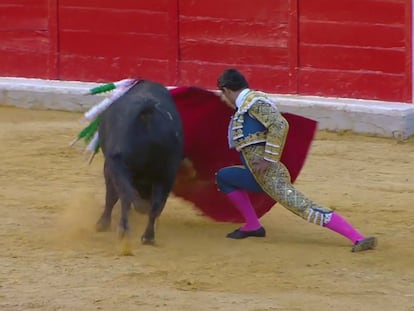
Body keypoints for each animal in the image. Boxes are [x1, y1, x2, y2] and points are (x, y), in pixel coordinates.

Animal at [96, 79, 184, 245]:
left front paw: (102, 224)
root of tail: (147, 112)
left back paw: (123, 230)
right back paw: (148, 236)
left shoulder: (110, 167)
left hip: (119, 166)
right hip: (167, 174)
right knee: (156, 205)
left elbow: (112, 197)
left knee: (125, 196)